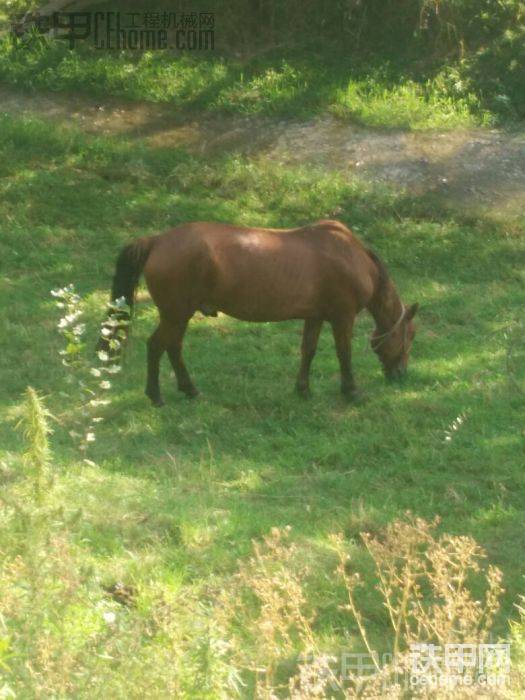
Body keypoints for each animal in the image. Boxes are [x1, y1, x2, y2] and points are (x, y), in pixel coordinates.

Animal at [101, 219, 418, 404]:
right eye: (410, 336)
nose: (401, 374)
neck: (349, 254)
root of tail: (157, 240)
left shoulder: (314, 316)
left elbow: (308, 350)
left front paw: (303, 389)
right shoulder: (342, 316)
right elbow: (344, 353)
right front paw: (351, 391)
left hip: (179, 316)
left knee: (173, 347)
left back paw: (189, 389)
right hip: (175, 314)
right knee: (157, 346)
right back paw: (156, 395)